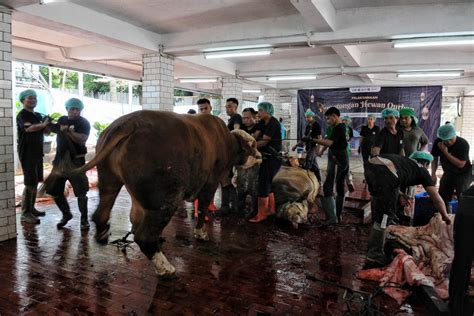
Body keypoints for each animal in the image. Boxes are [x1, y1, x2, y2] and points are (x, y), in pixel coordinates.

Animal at [73, 111, 258, 276]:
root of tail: (128, 124)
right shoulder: (210, 183)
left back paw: (103, 234)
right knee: (144, 236)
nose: (259, 156)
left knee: (102, 212)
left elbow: (135, 216)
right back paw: (165, 267)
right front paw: (201, 233)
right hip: (168, 197)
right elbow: (203, 208)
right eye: (253, 145)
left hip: (109, 180)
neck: (226, 140)